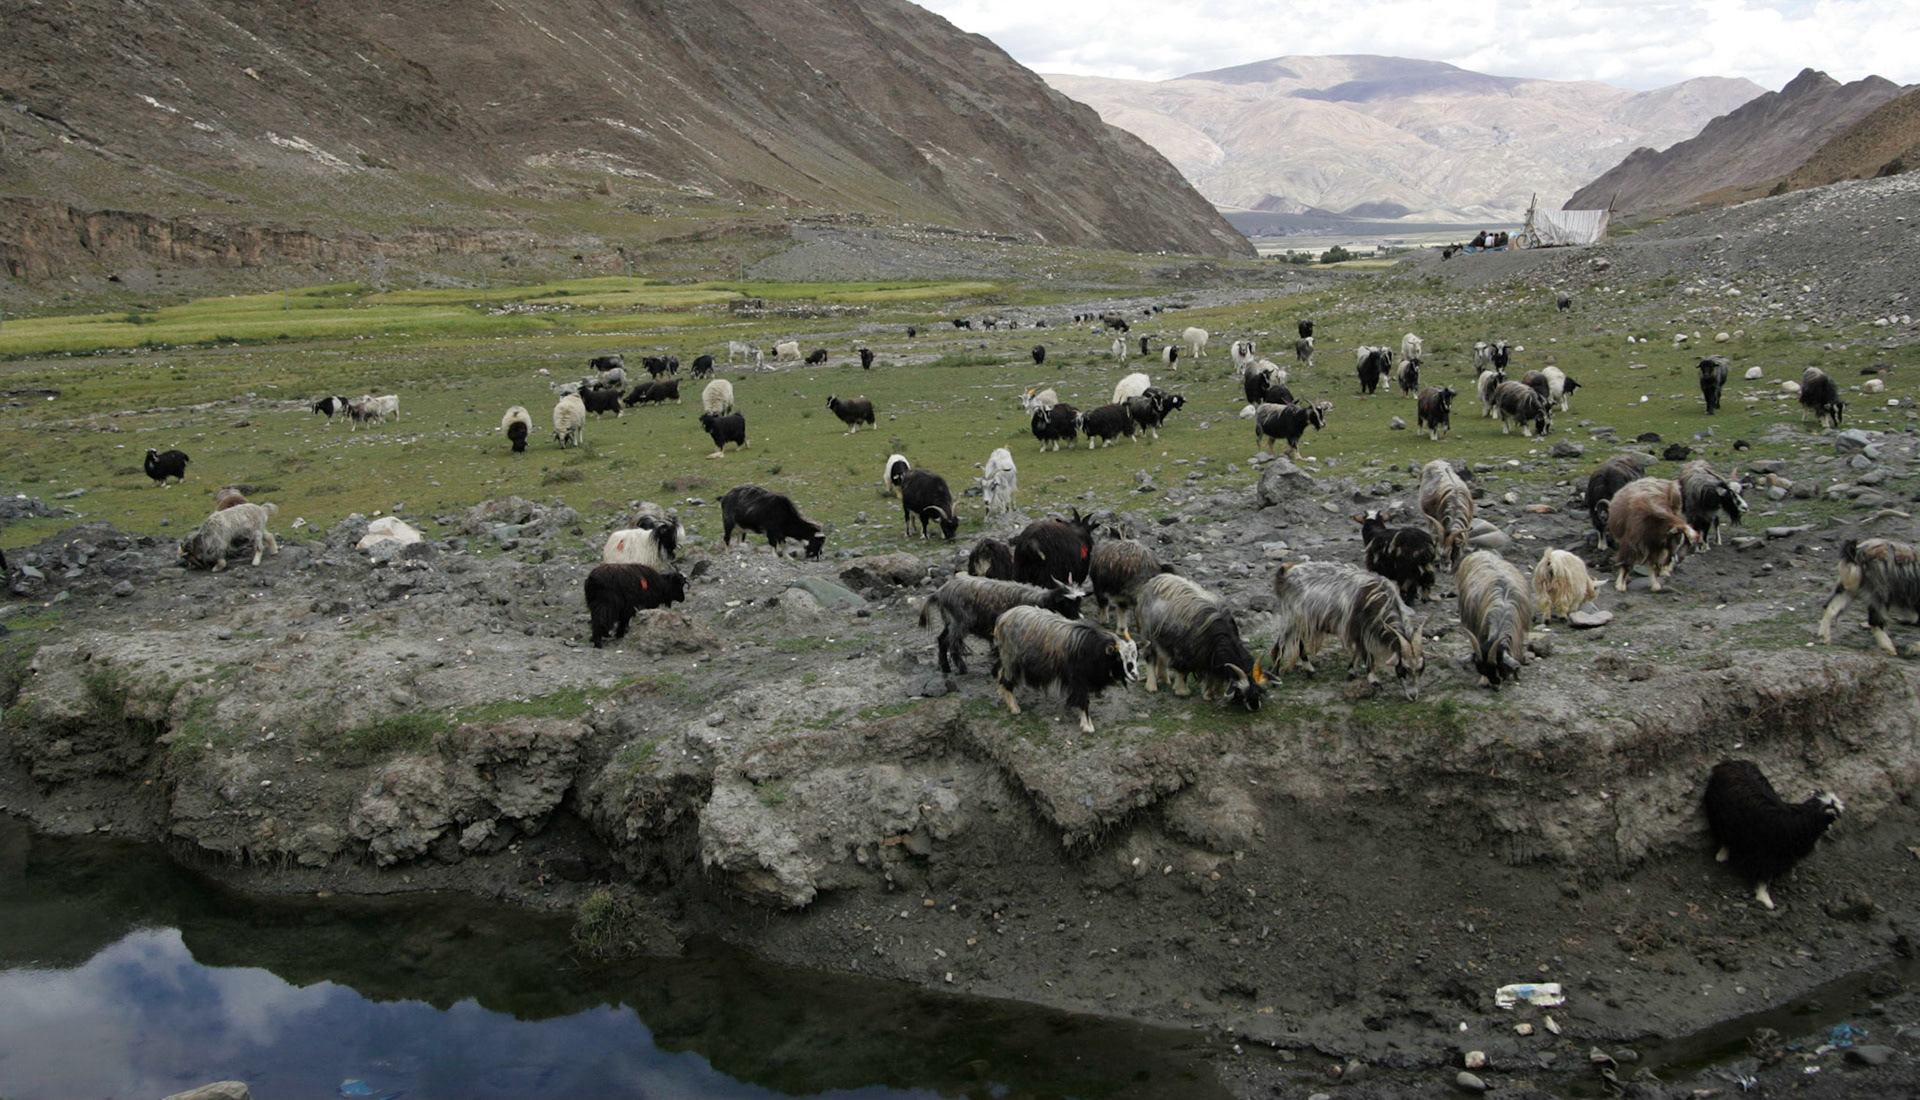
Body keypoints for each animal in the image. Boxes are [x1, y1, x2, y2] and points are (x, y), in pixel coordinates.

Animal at [920, 574, 1084, 674]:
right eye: (1066, 603)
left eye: (1079, 602)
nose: (1079, 618)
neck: (1041, 601)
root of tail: (940, 592)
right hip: (959, 623)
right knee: (951, 642)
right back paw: (961, 667)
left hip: (950, 623)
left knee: (941, 640)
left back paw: (945, 668)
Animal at [990, 606, 1140, 734]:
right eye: (1119, 658)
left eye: (1136, 656)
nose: (1135, 676)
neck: (1092, 650)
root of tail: (1003, 618)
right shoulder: (1078, 679)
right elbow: (1083, 700)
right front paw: (1087, 725)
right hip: (1011, 659)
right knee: (1006, 679)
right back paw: (1014, 708)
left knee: (1001, 672)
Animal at [1134, 573, 1264, 709]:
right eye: (1240, 690)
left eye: (1258, 689)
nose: (1255, 705)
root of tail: (1151, 582)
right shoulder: (1183, 650)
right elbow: (1182, 670)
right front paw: (1182, 690)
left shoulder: (1209, 654)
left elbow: (1210, 674)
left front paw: (1209, 694)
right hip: (1147, 633)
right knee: (1150, 657)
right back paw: (1151, 686)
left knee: (1161, 655)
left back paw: (1164, 679)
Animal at [1455, 549, 1533, 689]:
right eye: (1482, 670)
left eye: (1499, 666)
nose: (1496, 686)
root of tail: (1481, 552)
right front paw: (1483, 681)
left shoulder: (1518, 631)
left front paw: (1516, 674)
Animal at [1704, 759, 1844, 910]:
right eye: (1834, 816)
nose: (1832, 828)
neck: (1805, 820)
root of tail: (1729, 763)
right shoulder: (1767, 854)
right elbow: (1764, 876)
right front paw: (1764, 898)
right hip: (1719, 813)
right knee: (1724, 833)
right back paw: (1722, 855)